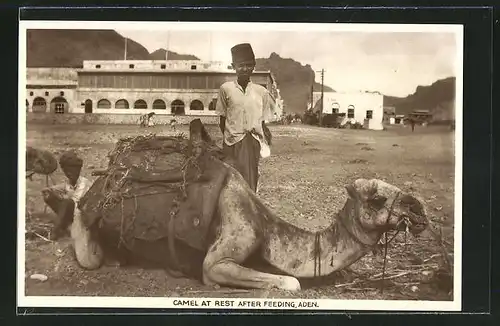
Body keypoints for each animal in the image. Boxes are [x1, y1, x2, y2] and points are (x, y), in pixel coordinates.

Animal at [64, 121, 428, 292]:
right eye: (377, 199)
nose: (419, 210)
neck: (267, 229)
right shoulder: (224, 254)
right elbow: (292, 282)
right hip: (90, 225)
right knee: (86, 245)